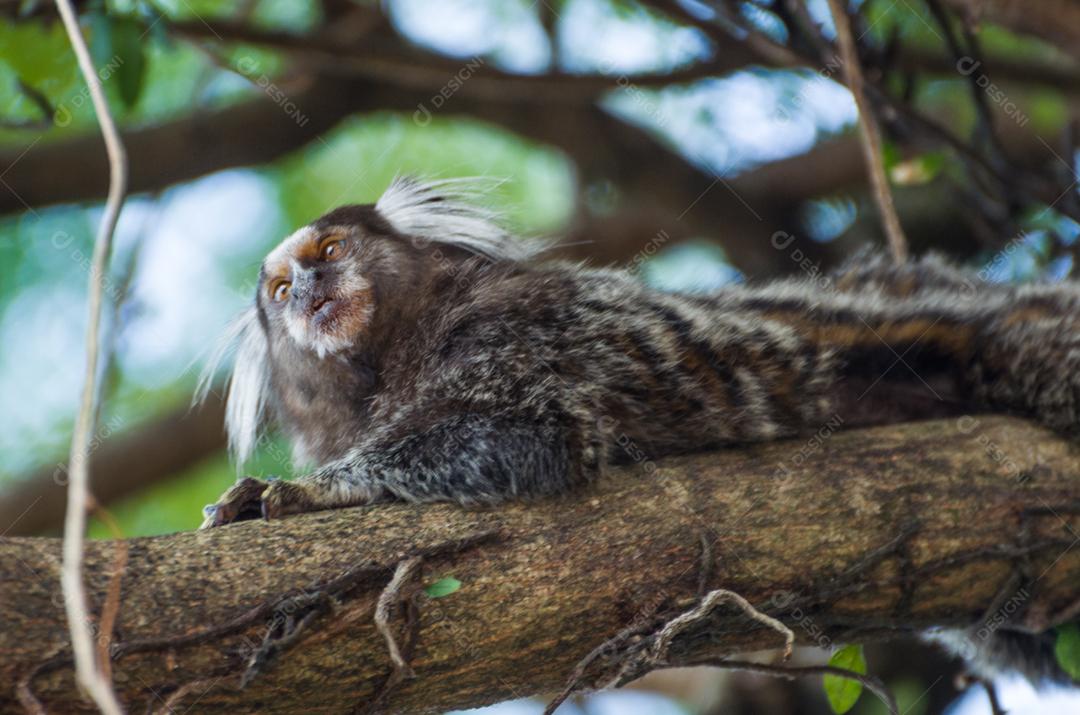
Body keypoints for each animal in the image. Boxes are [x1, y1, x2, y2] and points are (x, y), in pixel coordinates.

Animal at [197, 177, 1080, 683]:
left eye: (329, 247)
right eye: (280, 290)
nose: (308, 285)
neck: (393, 356)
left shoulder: (512, 329)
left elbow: (530, 431)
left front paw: (310, 493)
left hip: (1014, 340)